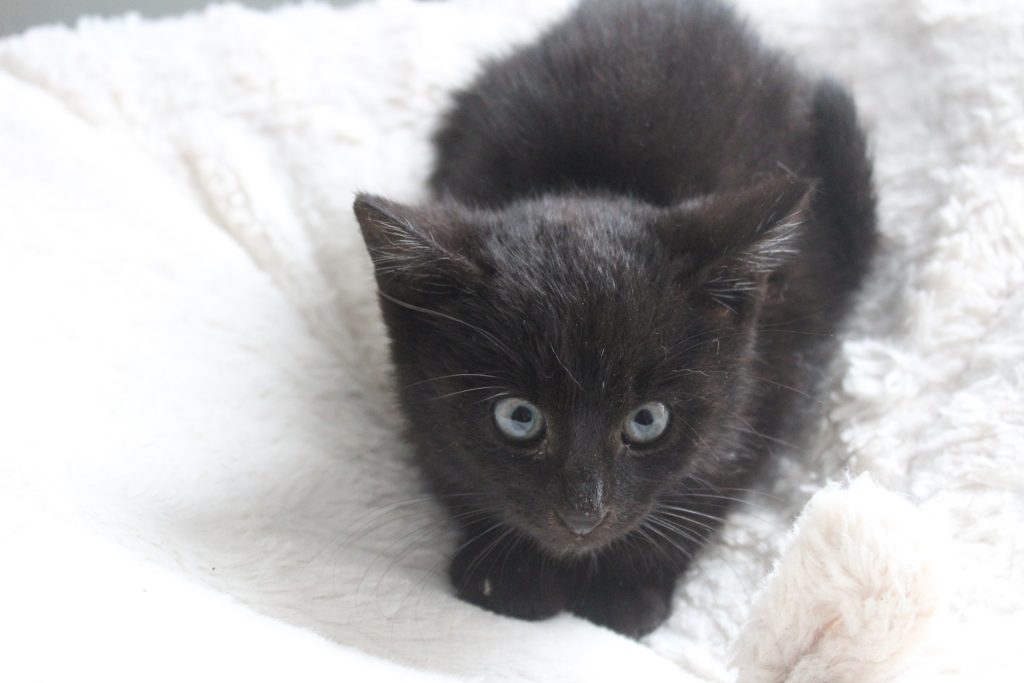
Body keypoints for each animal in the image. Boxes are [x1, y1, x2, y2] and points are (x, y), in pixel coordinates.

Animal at [353, 0, 875, 637]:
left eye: (647, 420)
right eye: (519, 417)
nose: (583, 515)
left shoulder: (774, 372)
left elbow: (708, 484)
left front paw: (625, 589)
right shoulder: (419, 407)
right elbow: (454, 468)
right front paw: (508, 573)